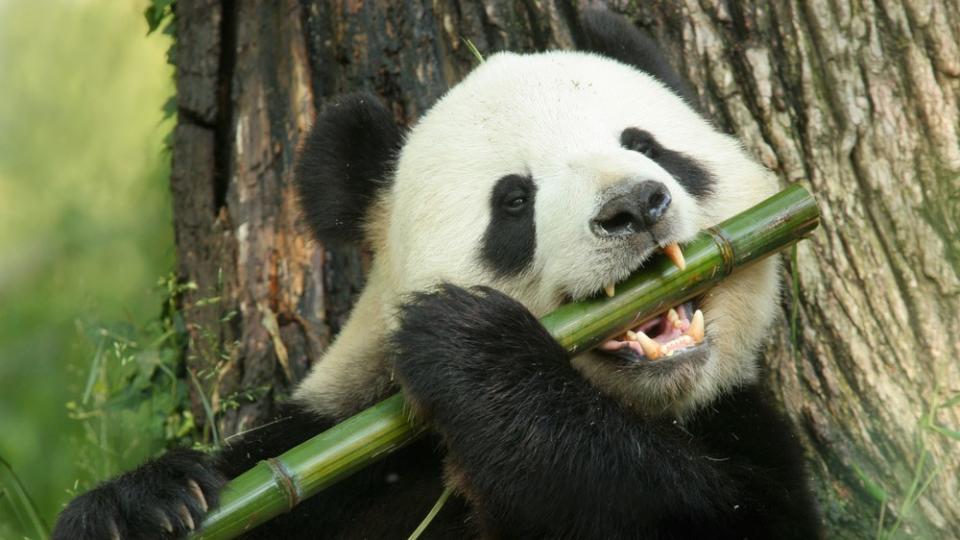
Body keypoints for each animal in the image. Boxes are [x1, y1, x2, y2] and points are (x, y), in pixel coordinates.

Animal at [50, 9, 816, 540]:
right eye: (514, 200)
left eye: (647, 145)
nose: (634, 206)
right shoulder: (340, 462)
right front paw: (141, 504)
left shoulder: (741, 428)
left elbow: (682, 506)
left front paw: (473, 350)